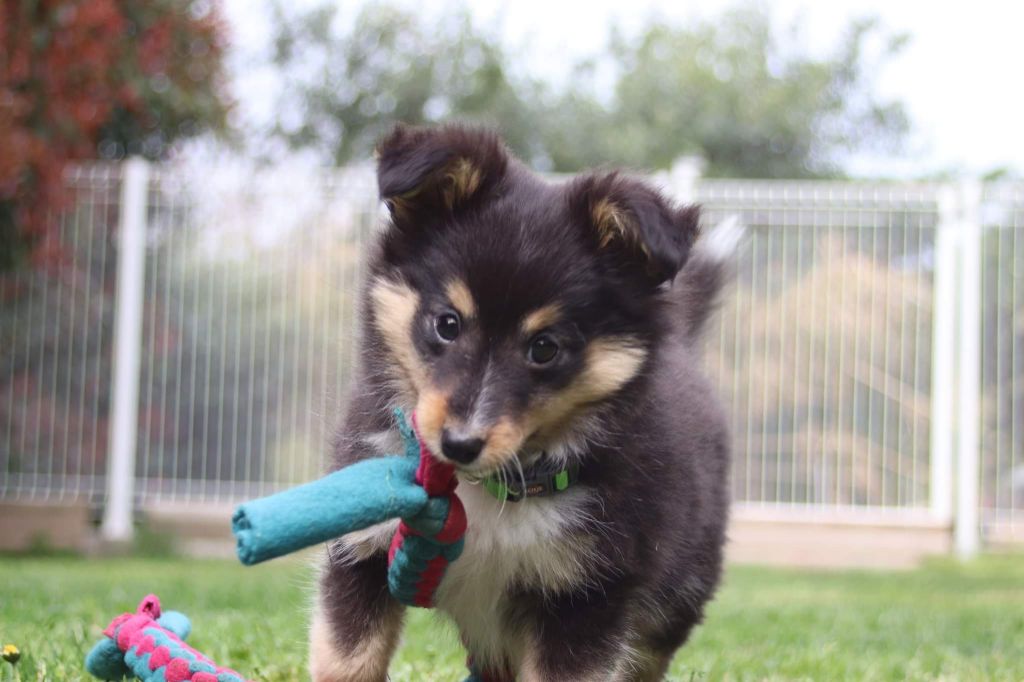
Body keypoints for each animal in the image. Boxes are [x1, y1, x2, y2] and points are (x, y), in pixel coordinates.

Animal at [309, 123, 729, 679]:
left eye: (544, 348)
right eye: (447, 323)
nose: (459, 444)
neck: (485, 490)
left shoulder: (586, 595)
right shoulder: (364, 552)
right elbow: (348, 658)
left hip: (671, 598)